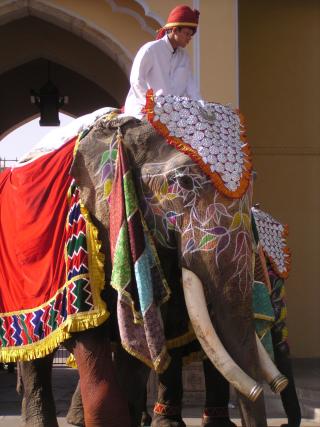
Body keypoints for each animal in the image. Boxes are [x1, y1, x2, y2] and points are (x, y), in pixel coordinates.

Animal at [0, 94, 288, 427]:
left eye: (254, 183)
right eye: (184, 182)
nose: (264, 388)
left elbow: (134, 356)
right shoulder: (79, 233)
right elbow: (88, 333)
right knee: (34, 352)